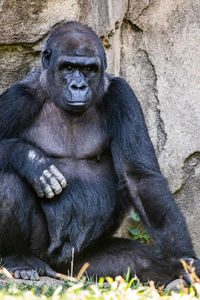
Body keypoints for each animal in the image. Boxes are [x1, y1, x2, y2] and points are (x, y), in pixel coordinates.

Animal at [0, 21, 198, 284]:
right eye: (68, 67)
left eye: (89, 70)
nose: (78, 86)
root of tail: (59, 268)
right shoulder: (19, 98)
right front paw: (30, 159)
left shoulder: (122, 95)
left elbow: (139, 177)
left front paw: (185, 261)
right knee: (8, 181)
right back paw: (19, 258)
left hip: (85, 263)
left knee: (140, 261)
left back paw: (172, 274)